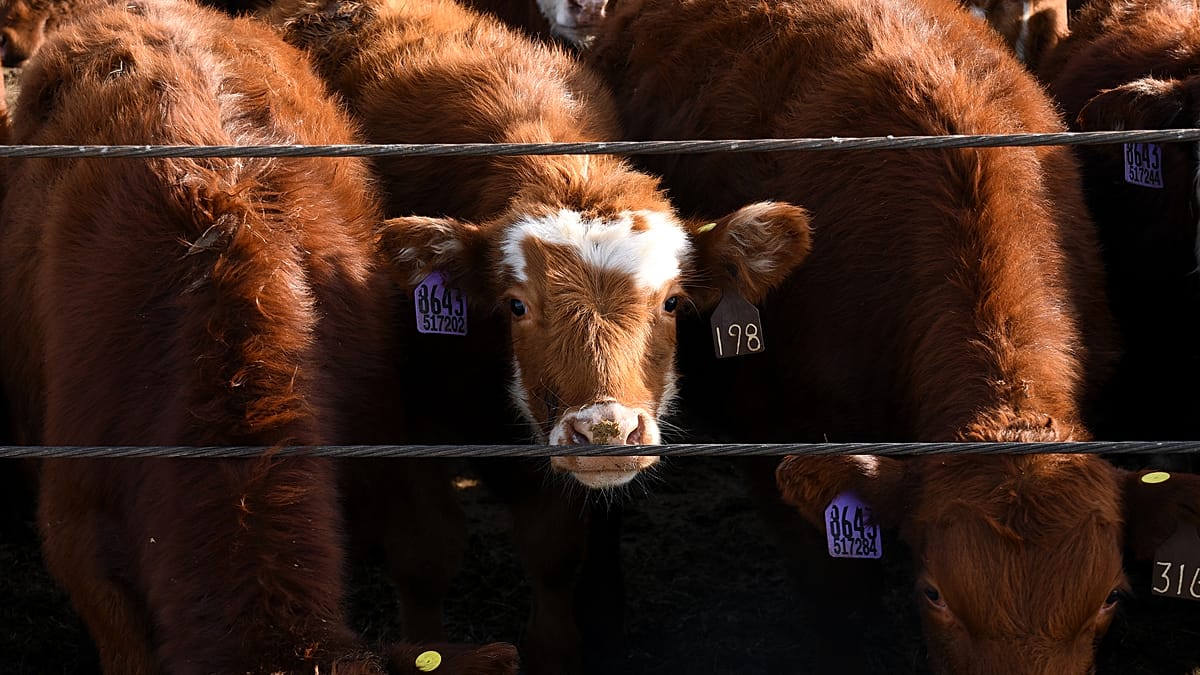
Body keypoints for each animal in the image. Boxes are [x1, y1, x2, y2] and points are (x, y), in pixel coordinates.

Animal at [263, 0, 813, 671]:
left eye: (672, 302)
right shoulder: (403, 420)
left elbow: (553, 552)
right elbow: (425, 556)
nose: (607, 432)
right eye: (517, 304)